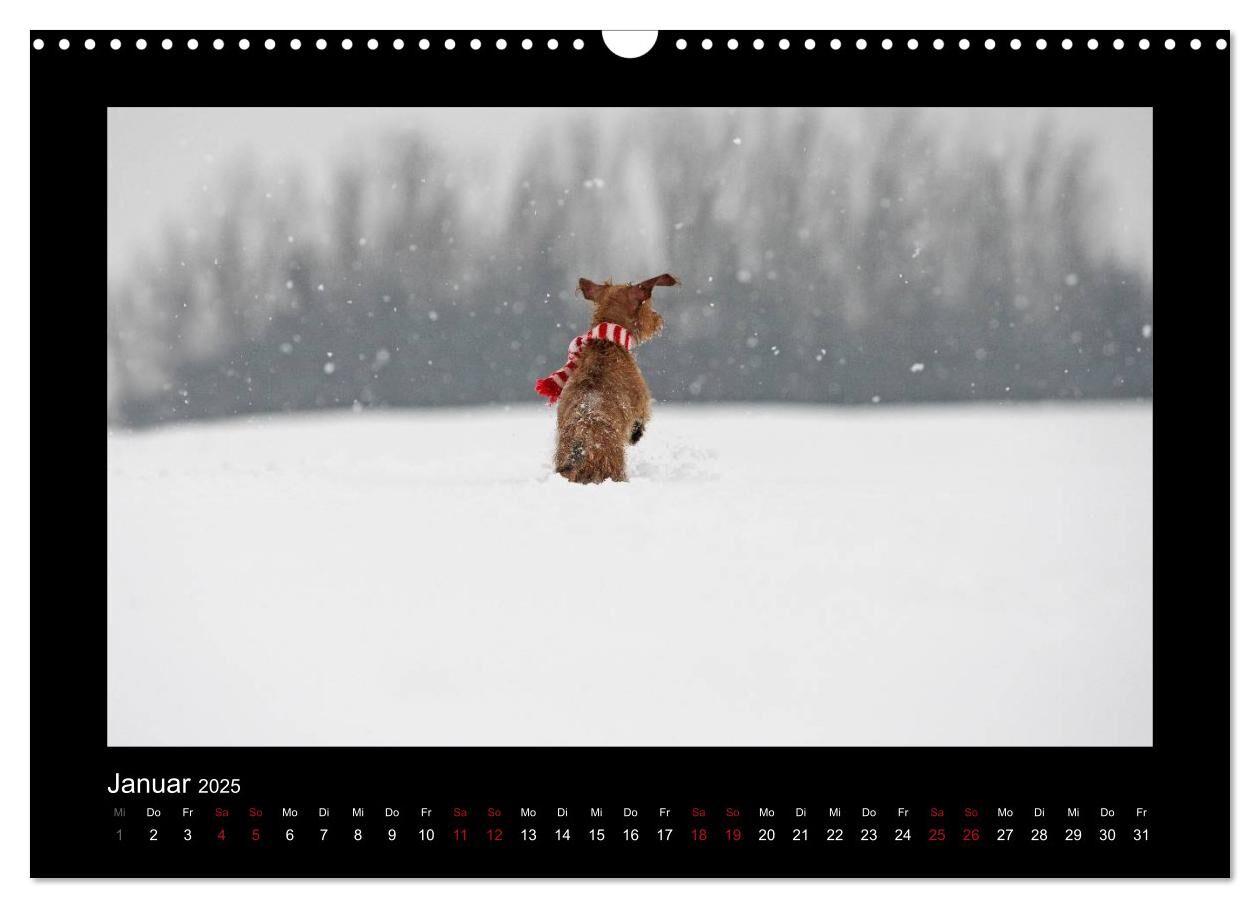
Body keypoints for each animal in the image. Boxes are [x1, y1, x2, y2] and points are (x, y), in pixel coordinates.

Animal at [536, 274, 679, 483]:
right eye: (646, 304)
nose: (658, 318)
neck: (605, 343)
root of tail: (581, 445)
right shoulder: (641, 401)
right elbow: (641, 419)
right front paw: (636, 435)